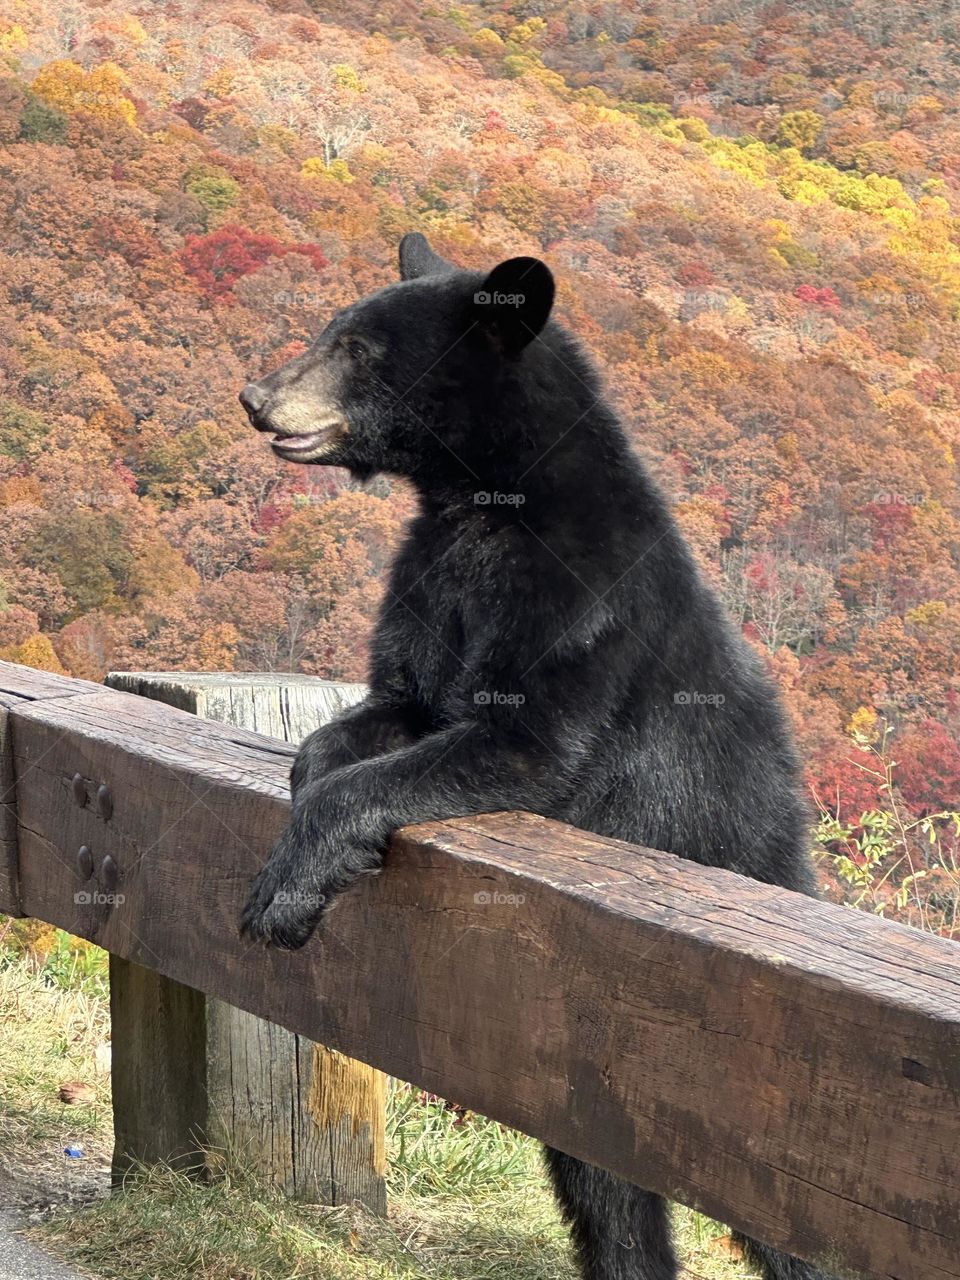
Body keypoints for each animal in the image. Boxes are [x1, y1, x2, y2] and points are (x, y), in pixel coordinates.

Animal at [240, 232, 839, 1280]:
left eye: (356, 347)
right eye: (331, 330)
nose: (257, 397)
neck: (486, 502)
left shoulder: (578, 606)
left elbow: (519, 744)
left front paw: (289, 886)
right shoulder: (434, 582)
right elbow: (382, 711)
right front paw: (310, 801)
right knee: (605, 1191)